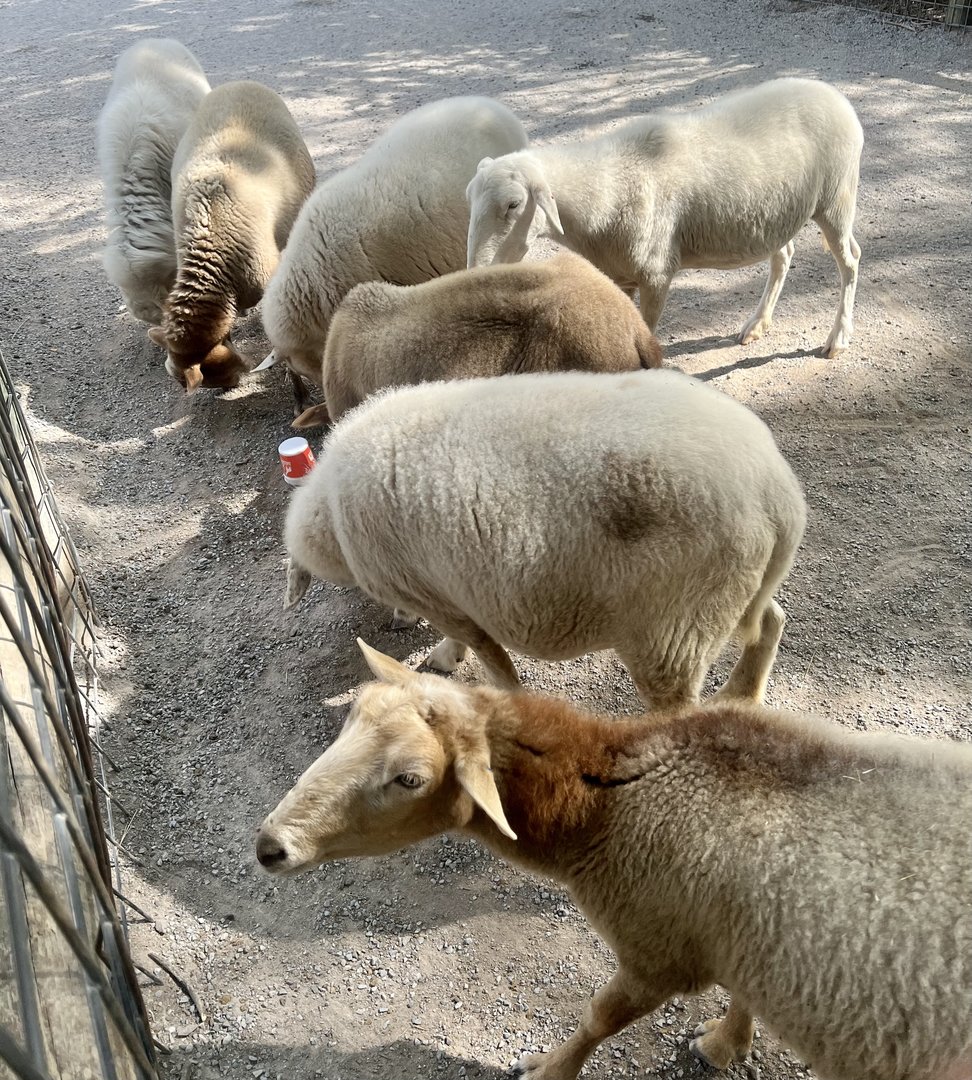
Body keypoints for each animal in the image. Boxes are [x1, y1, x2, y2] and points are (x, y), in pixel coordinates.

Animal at [256, 641, 972, 1080]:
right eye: (351, 715)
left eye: (410, 779)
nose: (269, 847)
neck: (602, 810)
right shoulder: (747, 940)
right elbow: (744, 996)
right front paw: (727, 1045)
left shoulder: (659, 950)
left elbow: (598, 1017)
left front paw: (547, 1069)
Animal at [284, 369, 806, 710]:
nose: (396, 620)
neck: (329, 511)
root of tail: (778, 491)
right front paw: (447, 655)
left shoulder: (436, 596)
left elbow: (488, 655)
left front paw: (479, 677)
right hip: (732, 593)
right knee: (772, 622)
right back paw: (741, 694)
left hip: (673, 631)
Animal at [466, 78, 863, 359]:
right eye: (468, 197)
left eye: (514, 204)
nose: (477, 273)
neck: (605, 187)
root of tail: (835, 95)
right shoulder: (619, 274)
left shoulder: (656, 274)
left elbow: (646, 330)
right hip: (775, 213)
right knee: (783, 255)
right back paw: (756, 324)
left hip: (837, 199)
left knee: (850, 260)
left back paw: (838, 337)